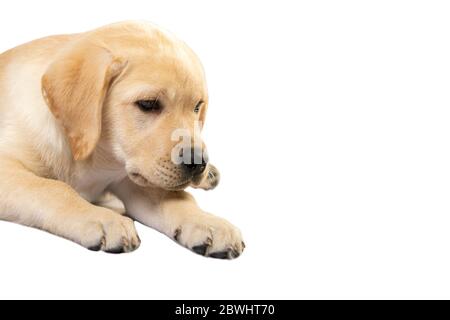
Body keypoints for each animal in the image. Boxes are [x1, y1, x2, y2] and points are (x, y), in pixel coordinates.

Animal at [0, 21, 244, 258]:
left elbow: (174, 197)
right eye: (148, 104)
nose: (198, 163)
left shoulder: (133, 177)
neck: (97, 158)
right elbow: (52, 188)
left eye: (197, 106)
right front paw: (102, 219)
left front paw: (208, 223)